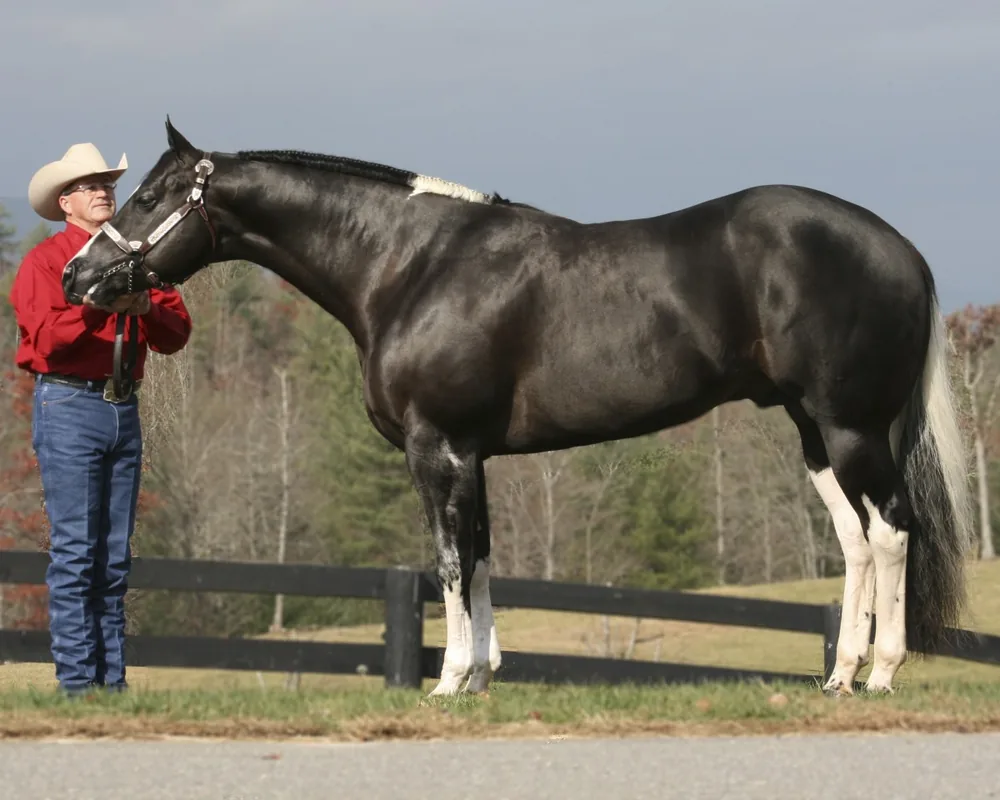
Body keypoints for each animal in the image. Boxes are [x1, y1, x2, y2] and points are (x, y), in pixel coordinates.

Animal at [62, 118, 973, 697]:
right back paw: (839, 675)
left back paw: (884, 672)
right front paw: (483, 677)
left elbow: (448, 561)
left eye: (150, 198)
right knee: (853, 541)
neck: (409, 266)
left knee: (891, 532)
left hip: (852, 427)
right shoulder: (473, 454)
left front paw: (448, 681)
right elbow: (482, 556)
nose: (79, 277)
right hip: (814, 431)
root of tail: (898, 246)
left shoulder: (437, 447)